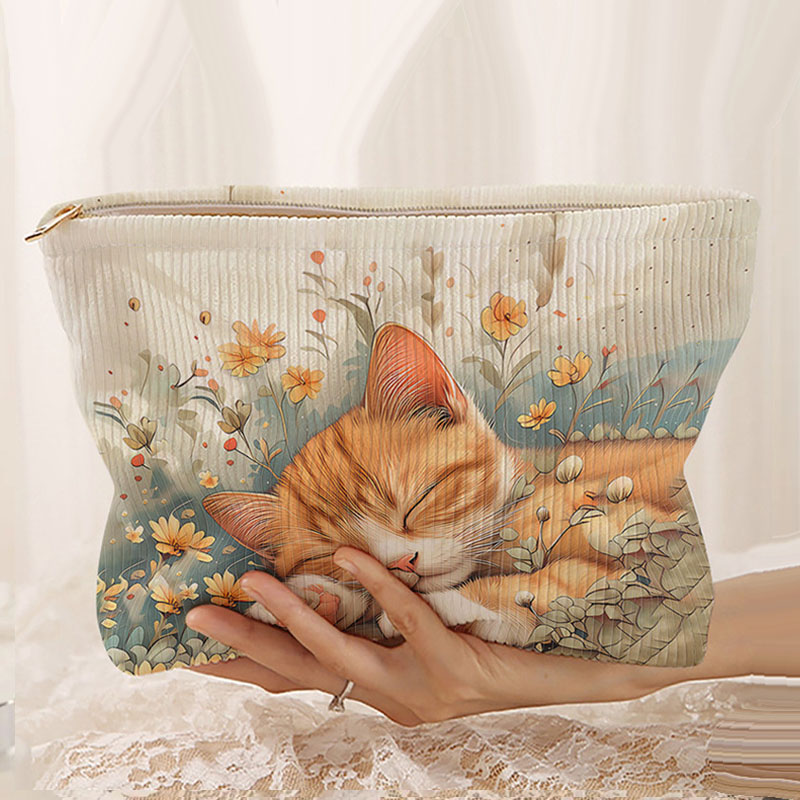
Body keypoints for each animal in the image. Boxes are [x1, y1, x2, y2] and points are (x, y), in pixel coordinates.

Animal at [203, 323, 697, 648]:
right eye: (335, 555)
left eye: (418, 501)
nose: (401, 563)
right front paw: (316, 599)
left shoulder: (644, 535)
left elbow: (566, 580)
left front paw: (454, 605)